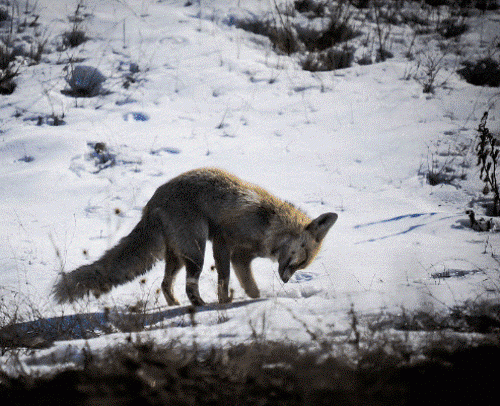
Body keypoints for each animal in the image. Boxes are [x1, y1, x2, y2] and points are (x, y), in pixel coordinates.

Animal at [52, 167, 338, 306]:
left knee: (165, 284)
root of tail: (153, 201)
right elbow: (224, 280)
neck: (268, 225)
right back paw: (200, 305)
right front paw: (224, 304)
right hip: (196, 252)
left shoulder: (241, 258)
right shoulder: (224, 243)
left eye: (302, 265)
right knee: (190, 286)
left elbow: (251, 288)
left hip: (178, 258)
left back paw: (175, 305)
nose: (286, 281)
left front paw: (255, 301)